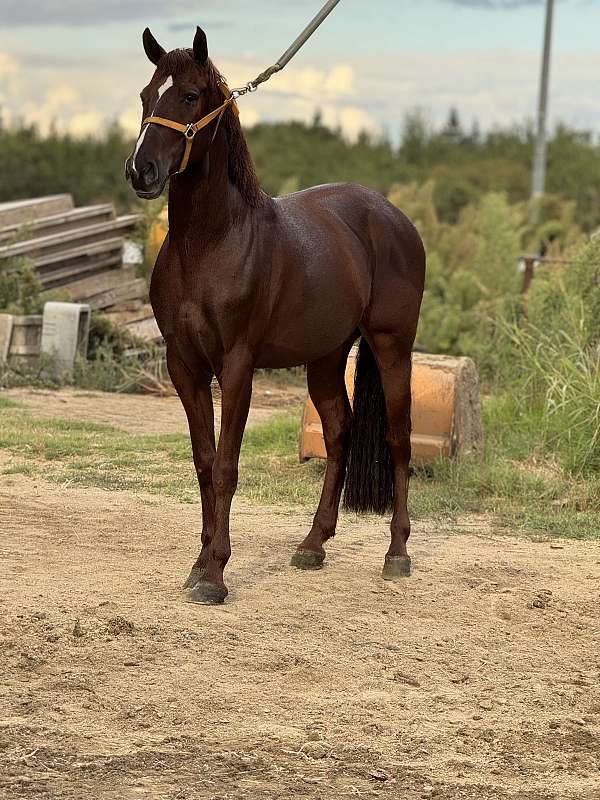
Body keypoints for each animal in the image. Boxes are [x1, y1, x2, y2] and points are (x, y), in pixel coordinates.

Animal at [126, 26, 426, 608]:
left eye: (190, 96)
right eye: (147, 95)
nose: (140, 171)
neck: (210, 245)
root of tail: (393, 217)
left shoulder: (237, 367)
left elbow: (226, 465)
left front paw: (215, 575)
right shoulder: (184, 366)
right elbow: (204, 462)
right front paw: (198, 565)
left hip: (391, 344)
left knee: (398, 437)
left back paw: (397, 553)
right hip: (327, 357)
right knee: (339, 432)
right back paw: (313, 545)